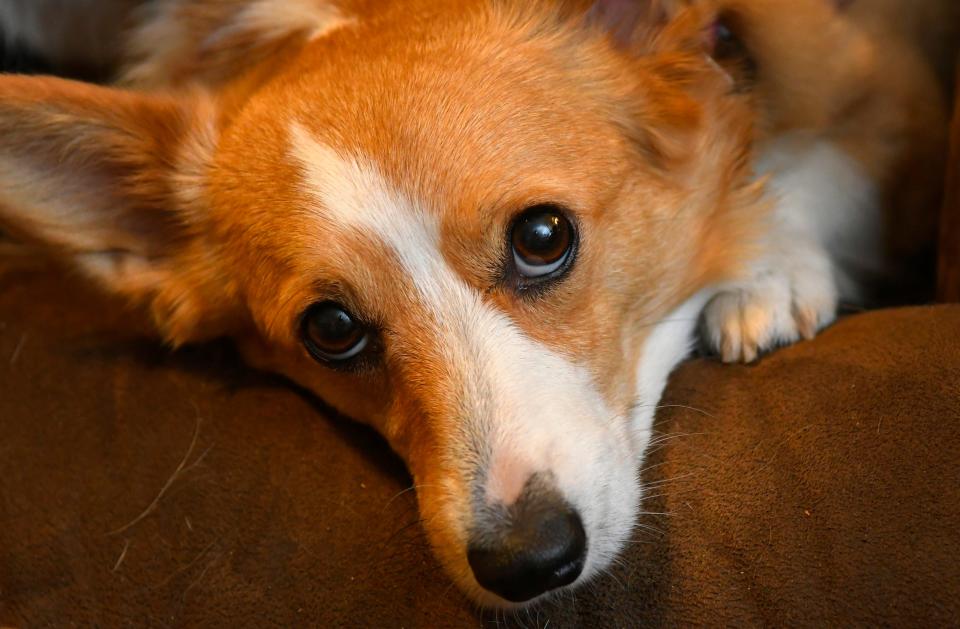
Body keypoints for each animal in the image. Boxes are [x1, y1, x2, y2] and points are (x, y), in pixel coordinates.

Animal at [0, 0, 948, 608]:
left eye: (543, 235)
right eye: (331, 329)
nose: (528, 563)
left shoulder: (891, 93)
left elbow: (811, 160)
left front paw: (765, 268)